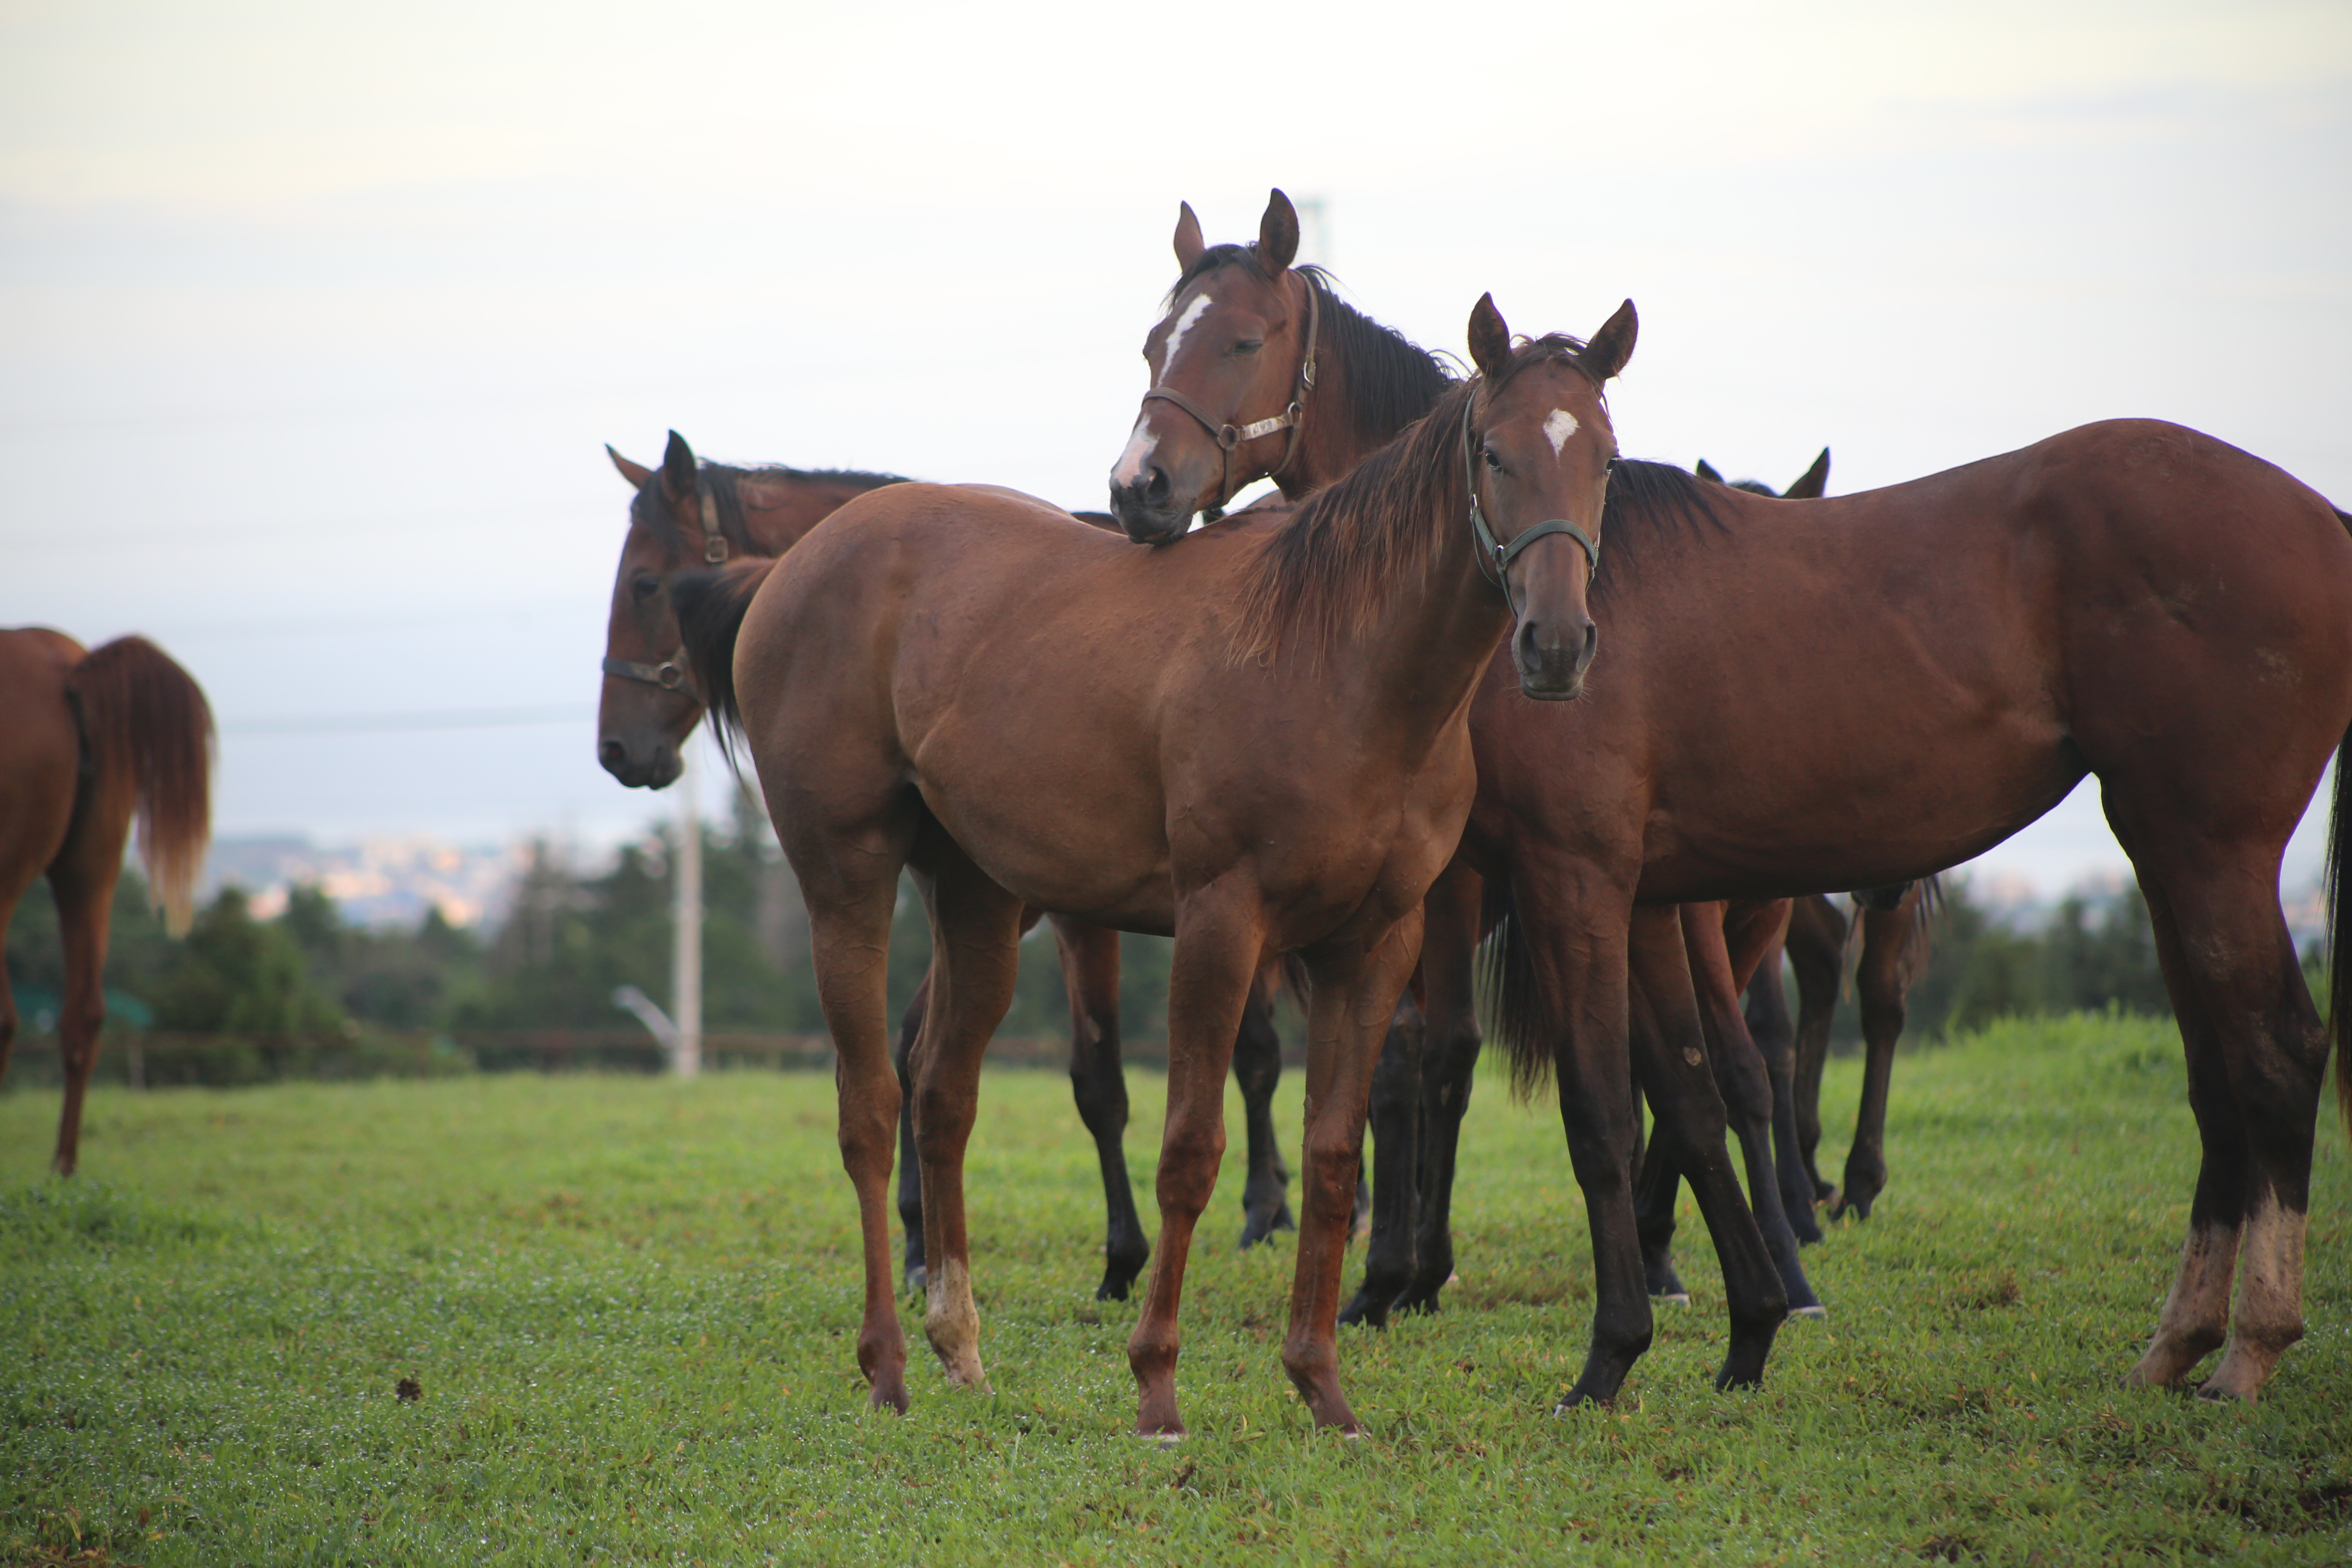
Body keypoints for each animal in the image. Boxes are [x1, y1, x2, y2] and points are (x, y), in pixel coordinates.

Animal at [597, 430, 1307, 1297]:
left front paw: (1127, 1253)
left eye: (646, 585)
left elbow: (1103, 1079)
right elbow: (918, 1043)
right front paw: (917, 1237)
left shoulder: (1073, 914)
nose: (617, 749)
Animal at [682, 291, 1637, 1439]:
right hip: (847, 885)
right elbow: (1190, 1151)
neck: (1340, 664)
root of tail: (794, 566)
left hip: (977, 900)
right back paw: (889, 1366)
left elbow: (1331, 1157)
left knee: (942, 1095)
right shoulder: (1223, 924)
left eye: (1604, 461)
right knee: (869, 1110)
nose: (1556, 644)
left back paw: (961, 1349)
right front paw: (1157, 1385)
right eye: (1493, 452)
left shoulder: (1373, 943)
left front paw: (1321, 1386)